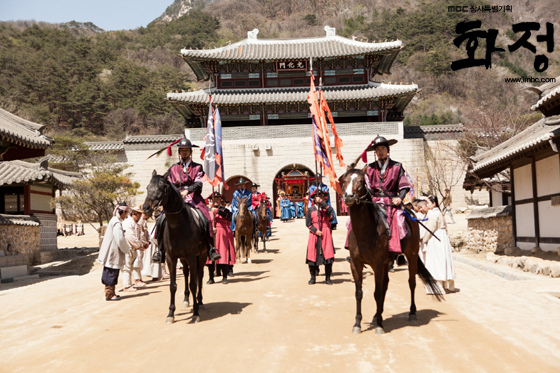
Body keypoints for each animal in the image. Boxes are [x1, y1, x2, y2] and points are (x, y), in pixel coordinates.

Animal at [141, 170, 209, 322]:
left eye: (162, 188)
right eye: (148, 187)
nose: (146, 209)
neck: (178, 226)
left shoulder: (192, 257)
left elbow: (194, 284)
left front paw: (195, 313)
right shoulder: (171, 258)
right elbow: (172, 286)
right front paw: (171, 313)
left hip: (201, 256)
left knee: (199, 276)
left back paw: (200, 301)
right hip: (183, 259)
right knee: (186, 273)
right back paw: (186, 299)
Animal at [340, 169, 444, 334]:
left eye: (361, 181)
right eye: (344, 180)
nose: (349, 196)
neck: (364, 232)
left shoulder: (377, 264)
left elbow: (377, 292)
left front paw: (379, 326)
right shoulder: (356, 264)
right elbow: (359, 293)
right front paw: (358, 324)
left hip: (411, 255)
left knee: (411, 283)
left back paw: (411, 313)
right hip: (386, 262)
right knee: (386, 284)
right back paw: (377, 315)